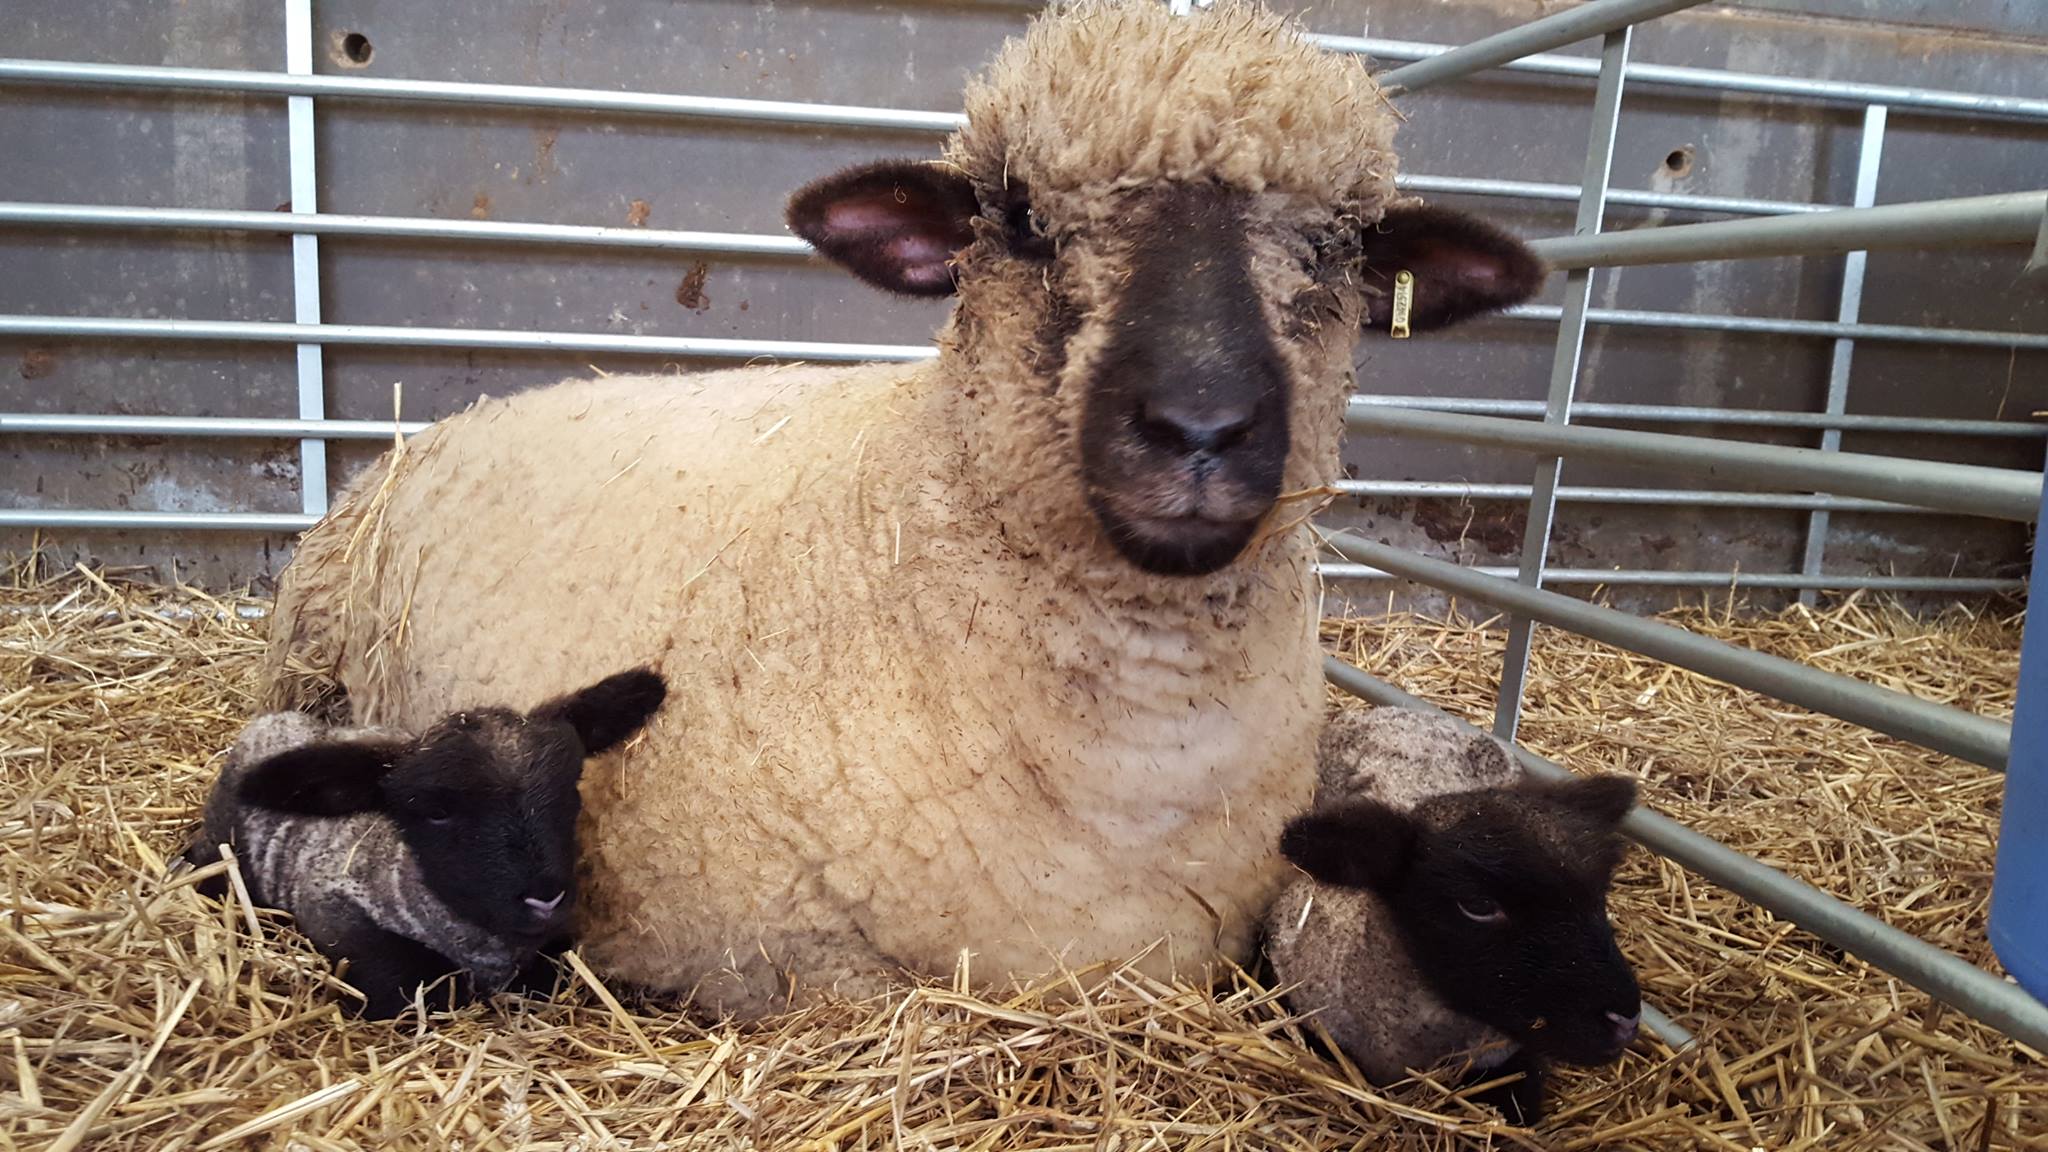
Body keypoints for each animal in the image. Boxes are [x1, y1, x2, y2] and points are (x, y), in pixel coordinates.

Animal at [184, 668, 667, 1019]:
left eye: (571, 789)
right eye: (436, 812)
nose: (544, 898)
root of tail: (277, 720)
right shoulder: (334, 910)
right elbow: (415, 986)